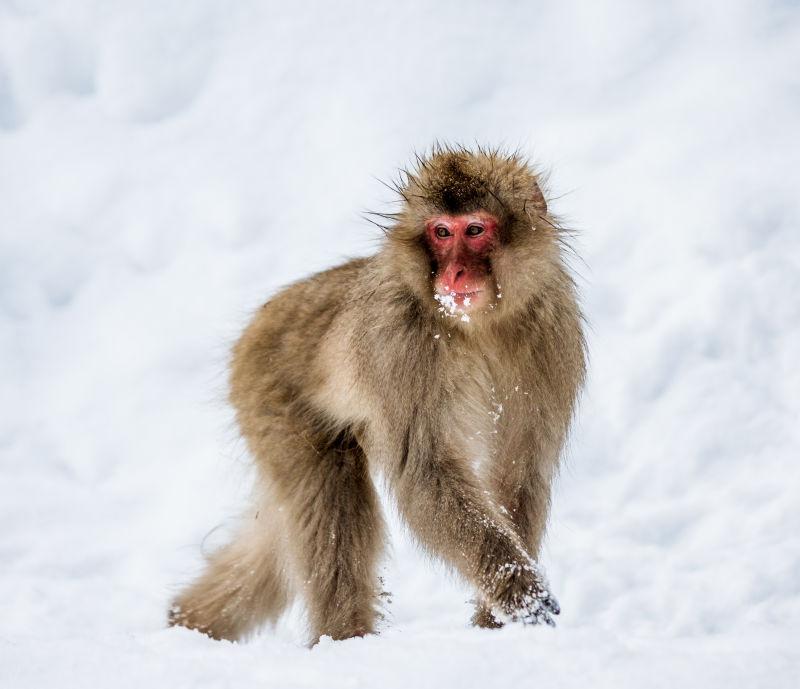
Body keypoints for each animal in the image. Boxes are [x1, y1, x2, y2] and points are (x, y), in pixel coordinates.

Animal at [169, 146, 584, 644]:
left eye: (475, 230)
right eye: (441, 232)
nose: (454, 273)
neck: (478, 326)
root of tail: (266, 314)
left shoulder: (550, 330)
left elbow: (519, 468)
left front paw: (495, 621)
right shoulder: (399, 342)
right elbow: (424, 470)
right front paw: (519, 592)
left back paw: (186, 621)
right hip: (271, 399)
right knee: (331, 509)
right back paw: (342, 639)